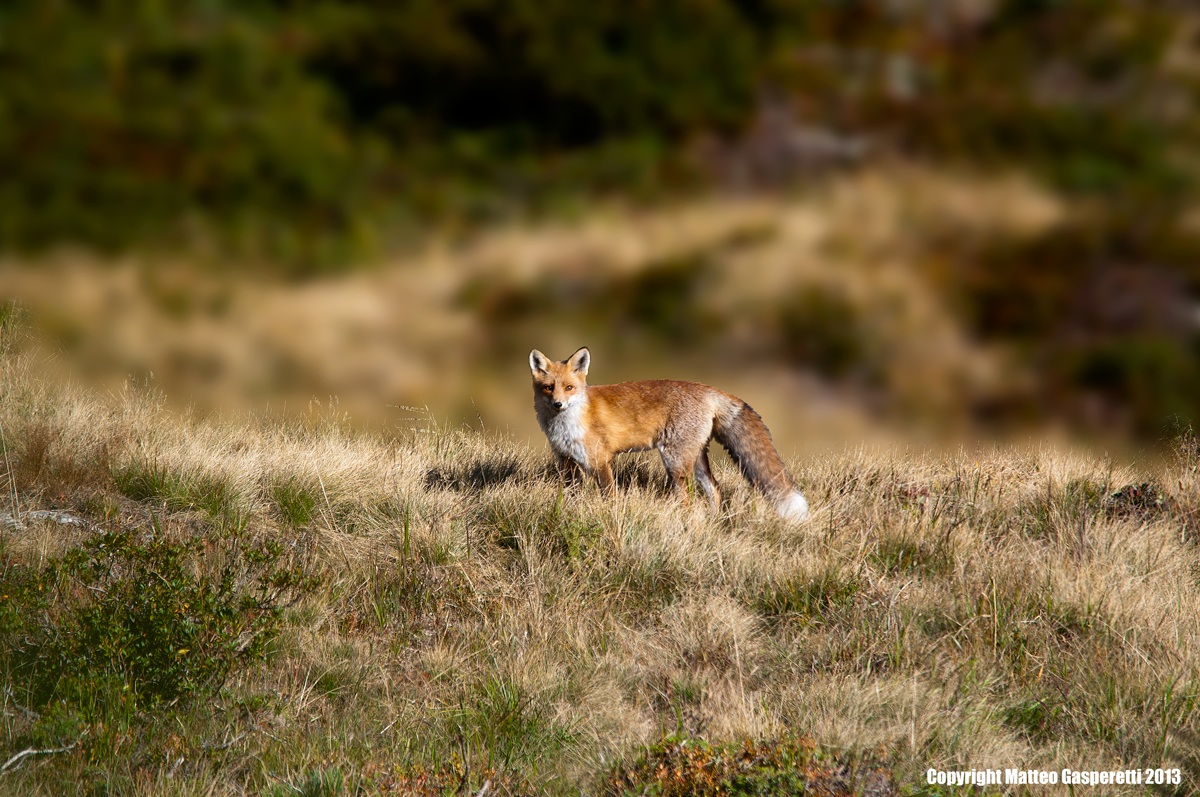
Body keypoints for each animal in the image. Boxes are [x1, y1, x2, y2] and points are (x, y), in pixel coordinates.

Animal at [529, 346, 809, 522]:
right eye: (548, 388)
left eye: (569, 388)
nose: (558, 404)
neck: (567, 424)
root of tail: (709, 389)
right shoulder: (567, 462)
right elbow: (570, 496)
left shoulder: (600, 461)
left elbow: (611, 498)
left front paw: (610, 516)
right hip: (695, 461)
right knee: (716, 490)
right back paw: (715, 522)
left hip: (675, 462)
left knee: (690, 501)